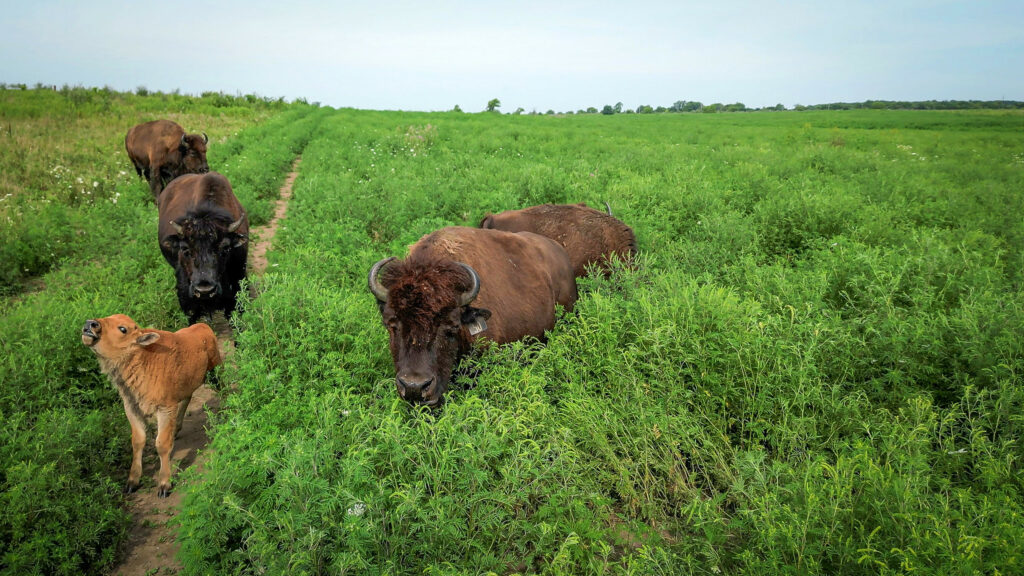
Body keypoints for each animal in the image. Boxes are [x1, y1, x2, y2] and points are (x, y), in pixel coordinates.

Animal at [81, 311, 220, 496]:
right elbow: (138, 441)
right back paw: (176, 429)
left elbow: (161, 444)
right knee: (187, 398)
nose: (90, 324)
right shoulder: (132, 409)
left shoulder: (165, 409)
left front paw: (164, 485)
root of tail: (203, 327)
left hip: (216, 369)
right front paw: (132, 482)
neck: (142, 358)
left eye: (123, 329)